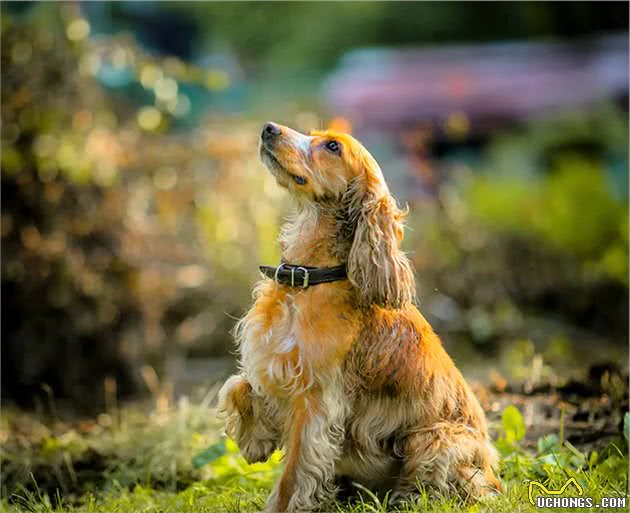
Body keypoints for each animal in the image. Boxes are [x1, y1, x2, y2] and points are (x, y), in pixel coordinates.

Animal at [220, 122, 502, 510]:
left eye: (332, 147)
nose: (268, 128)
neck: (307, 279)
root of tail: (496, 477)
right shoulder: (275, 363)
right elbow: (238, 385)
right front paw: (255, 440)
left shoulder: (317, 403)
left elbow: (293, 475)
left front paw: (280, 505)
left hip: (436, 439)